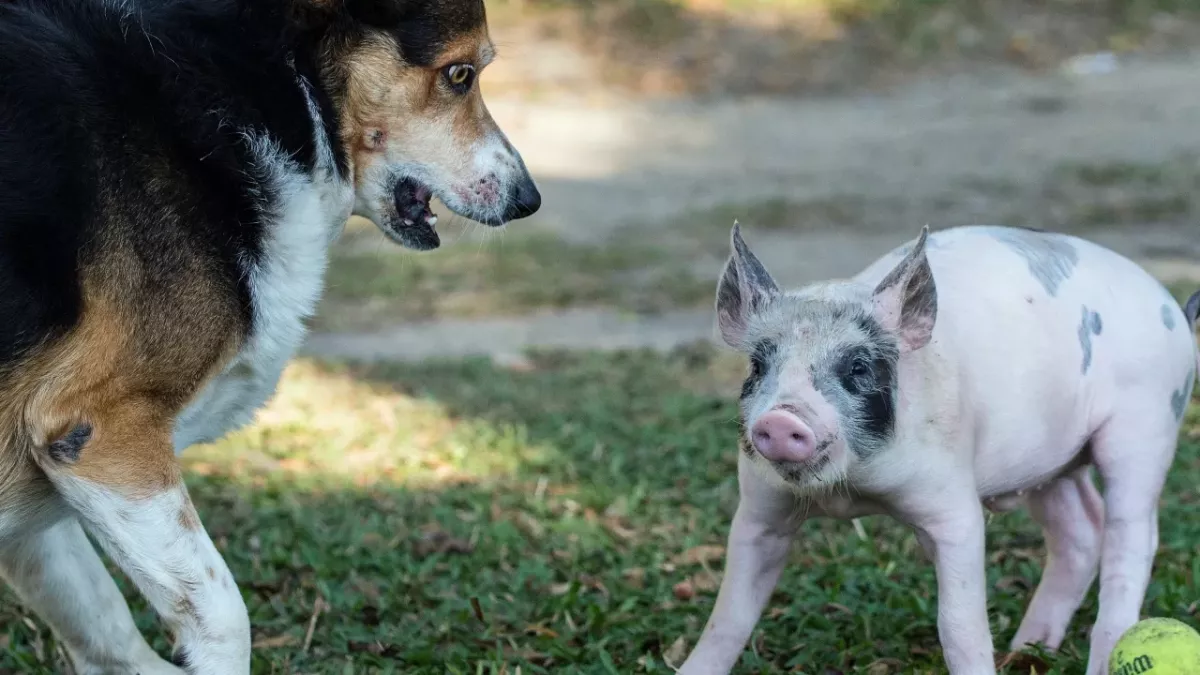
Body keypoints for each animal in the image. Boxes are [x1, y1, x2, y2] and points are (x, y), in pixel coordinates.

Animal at [678, 223, 1199, 675]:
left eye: (858, 367)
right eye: (758, 365)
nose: (782, 419)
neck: (851, 492)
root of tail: (1171, 307)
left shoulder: (954, 506)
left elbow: (959, 626)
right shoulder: (760, 508)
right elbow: (728, 617)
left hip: (1146, 425)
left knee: (1132, 538)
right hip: (1050, 465)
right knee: (1081, 528)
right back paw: (1027, 648)